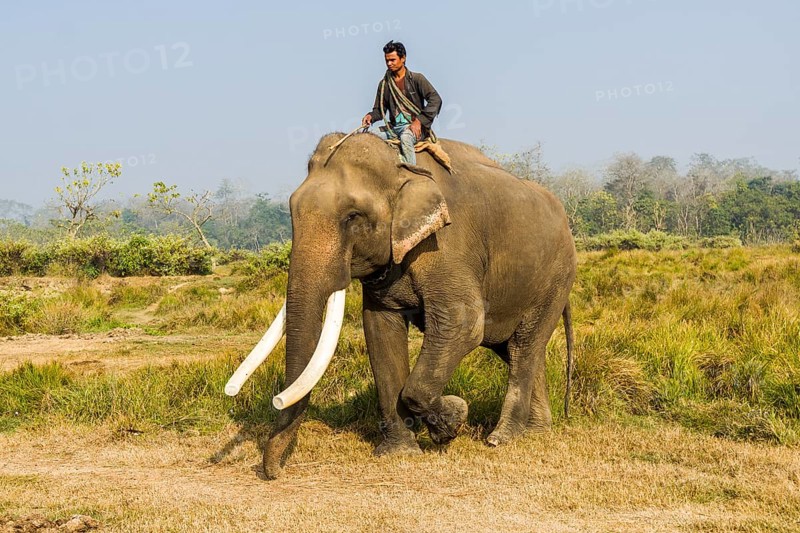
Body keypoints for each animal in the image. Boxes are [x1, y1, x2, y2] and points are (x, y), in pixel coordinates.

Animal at [254, 132, 577, 479]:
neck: (400, 166)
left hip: (556, 279)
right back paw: (537, 432)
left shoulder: (448, 245)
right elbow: (380, 329)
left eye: (352, 216)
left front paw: (452, 421)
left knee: (523, 347)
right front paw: (400, 452)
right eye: (291, 211)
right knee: (518, 350)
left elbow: (463, 323)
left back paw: (501, 438)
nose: (273, 472)